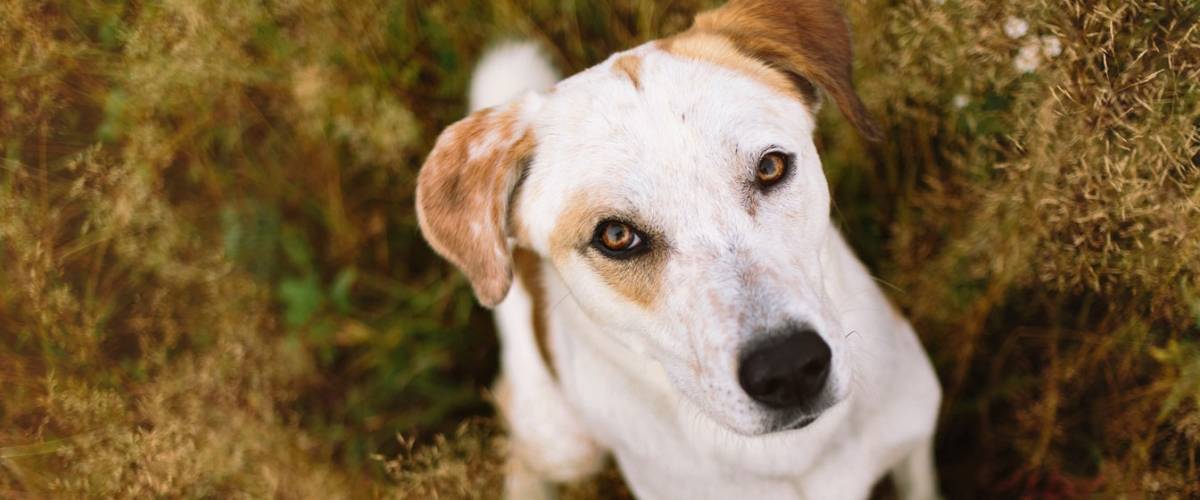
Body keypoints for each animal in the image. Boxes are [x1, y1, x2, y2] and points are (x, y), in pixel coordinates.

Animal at [417, 1, 940, 496]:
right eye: (616, 236)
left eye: (770, 167)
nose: (789, 369)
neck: (793, 456)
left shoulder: (915, 438)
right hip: (563, 444)